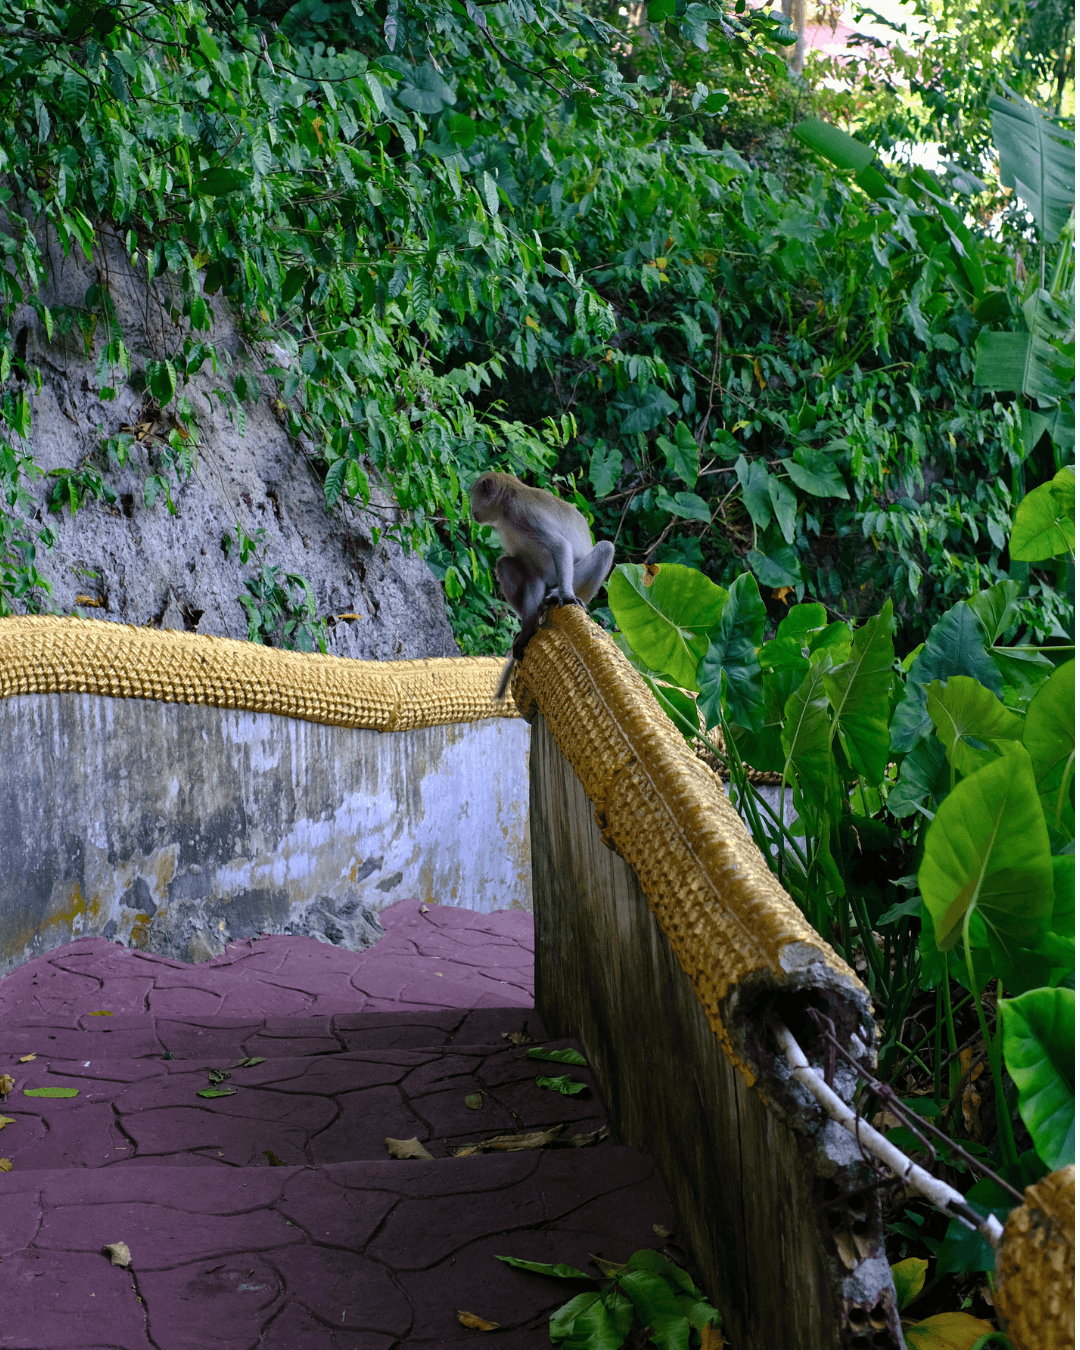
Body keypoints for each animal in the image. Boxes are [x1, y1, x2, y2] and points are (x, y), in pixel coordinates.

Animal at [470, 471, 616, 701]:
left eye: (474, 495)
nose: (471, 509)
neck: (505, 512)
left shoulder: (524, 513)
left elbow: (560, 546)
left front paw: (564, 595)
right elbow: (533, 576)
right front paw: (528, 627)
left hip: (583, 591)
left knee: (605, 548)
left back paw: (557, 595)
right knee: (505, 565)